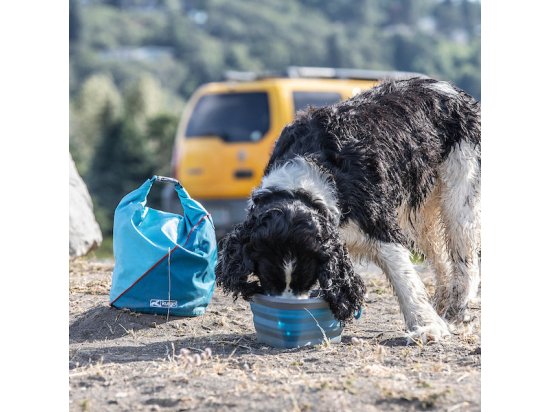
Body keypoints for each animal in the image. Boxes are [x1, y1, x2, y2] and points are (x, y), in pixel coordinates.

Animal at [216, 77, 484, 342]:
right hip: (421, 212)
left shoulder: (378, 225)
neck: (306, 181)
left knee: (465, 257)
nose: (287, 312)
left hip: (459, 191)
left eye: (306, 280)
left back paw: (456, 308)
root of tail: (449, 88)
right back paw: (443, 303)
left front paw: (426, 327)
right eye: (269, 281)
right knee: (440, 256)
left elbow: (404, 277)